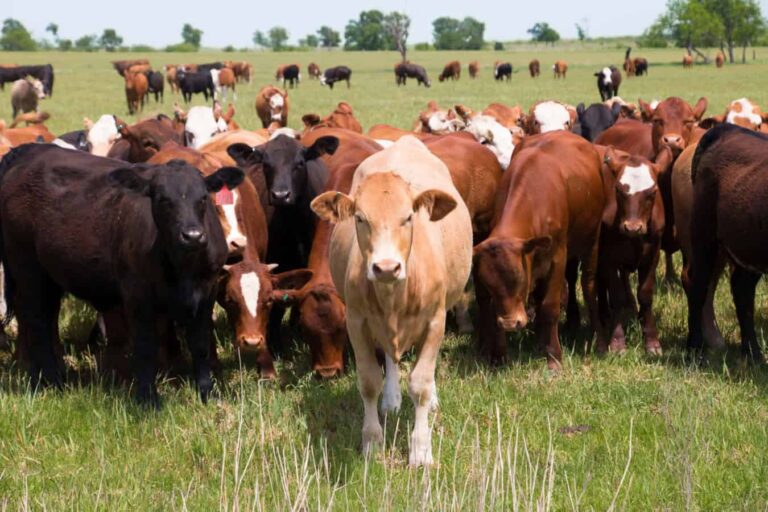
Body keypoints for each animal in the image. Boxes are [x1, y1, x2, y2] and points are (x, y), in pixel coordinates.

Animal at [0, 144, 244, 405]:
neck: (182, 267)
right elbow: (145, 347)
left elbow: (200, 344)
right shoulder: (136, 293)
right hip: (26, 266)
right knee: (35, 319)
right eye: (163, 199)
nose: (193, 236)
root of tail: (32, 151)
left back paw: (45, 378)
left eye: (203, 198)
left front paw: (208, 393)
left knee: (46, 316)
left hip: (50, 274)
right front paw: (148, 400)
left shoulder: (207, 290)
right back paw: (50, 381)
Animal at [311, 135, 473, 466]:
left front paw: (421, 449)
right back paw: (392, 398)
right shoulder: (356, 322)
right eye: (360, 218)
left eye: (408, 217)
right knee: (389, 356)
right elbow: (369, 381)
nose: (386, 267)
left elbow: (421, 384)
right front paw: (372, 442)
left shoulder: (436, 320)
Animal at [473, 131, 605, 366]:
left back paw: (599, 341)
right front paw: (499, 355)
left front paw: (554, 356)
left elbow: (549, 306)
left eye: (518, 279)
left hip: (592, 239)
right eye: (488, 285)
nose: (510, 323)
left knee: (589, 286)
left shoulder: (558, 257)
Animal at [596, 146, 672, 355]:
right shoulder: (608, 257)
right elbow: (616, 294)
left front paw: (652, 341)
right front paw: (617, 341)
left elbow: (645, 294)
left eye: (652, 192)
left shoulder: (653, 255)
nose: (632, 227)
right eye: (618, 190)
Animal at [687, 124, 768, 361]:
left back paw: (752, 353)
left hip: (750, 245)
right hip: (703, 234)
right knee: (698, 285)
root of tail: (729, 128)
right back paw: (694, 349)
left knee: (742, 289)